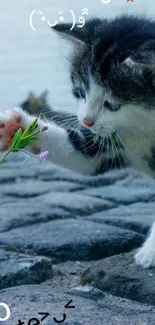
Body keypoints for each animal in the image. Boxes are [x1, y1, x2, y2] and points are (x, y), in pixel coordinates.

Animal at [0, 15, 155, 268]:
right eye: (81, 92)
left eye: (113, 105)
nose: (86, 121)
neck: (143, 129)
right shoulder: (112, 139)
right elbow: (82, 155)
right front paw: (15, 127)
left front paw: (150, 251)